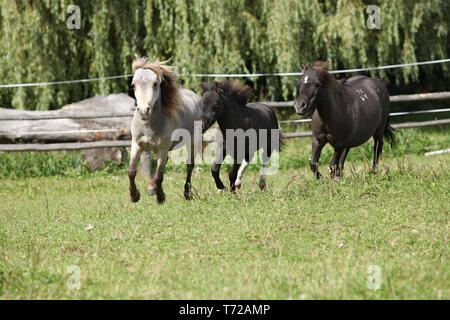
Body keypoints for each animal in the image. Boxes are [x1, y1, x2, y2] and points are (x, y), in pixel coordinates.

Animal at [129, 57, 201, 204]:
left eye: (155, 84)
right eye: (133, 85)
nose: (144, 111)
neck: (149, 126)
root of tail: (193, 95)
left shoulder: (162, 149)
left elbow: (159, 176)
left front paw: (160, 197)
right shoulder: (136, 144)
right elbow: (132, 171)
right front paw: (134, 195)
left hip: (193, 142)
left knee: (189, 165)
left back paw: (187, 194)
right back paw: (151, 188)